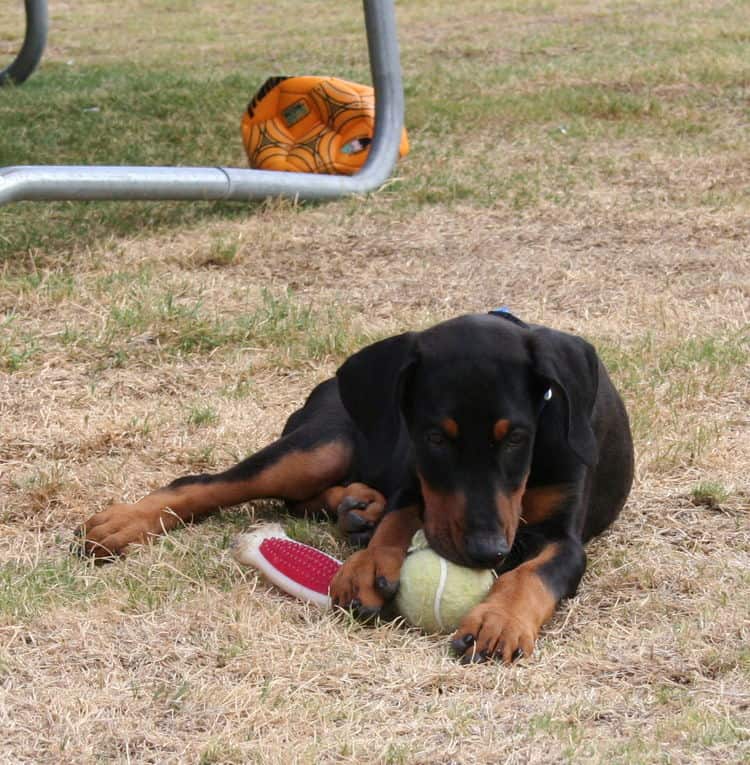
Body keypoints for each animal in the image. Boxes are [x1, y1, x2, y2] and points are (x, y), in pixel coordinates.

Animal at [81, 310, 636, 664]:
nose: (487, 552)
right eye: (435, 437)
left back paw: (358, 506)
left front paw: (496, 622)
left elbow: (531, 573)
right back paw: (121, 523)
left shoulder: (564, 538)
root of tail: (325, 387)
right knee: (216, 482)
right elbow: (404, 513)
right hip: (323, 443)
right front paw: (370, 564)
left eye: (517, 436)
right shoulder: (419, 477)